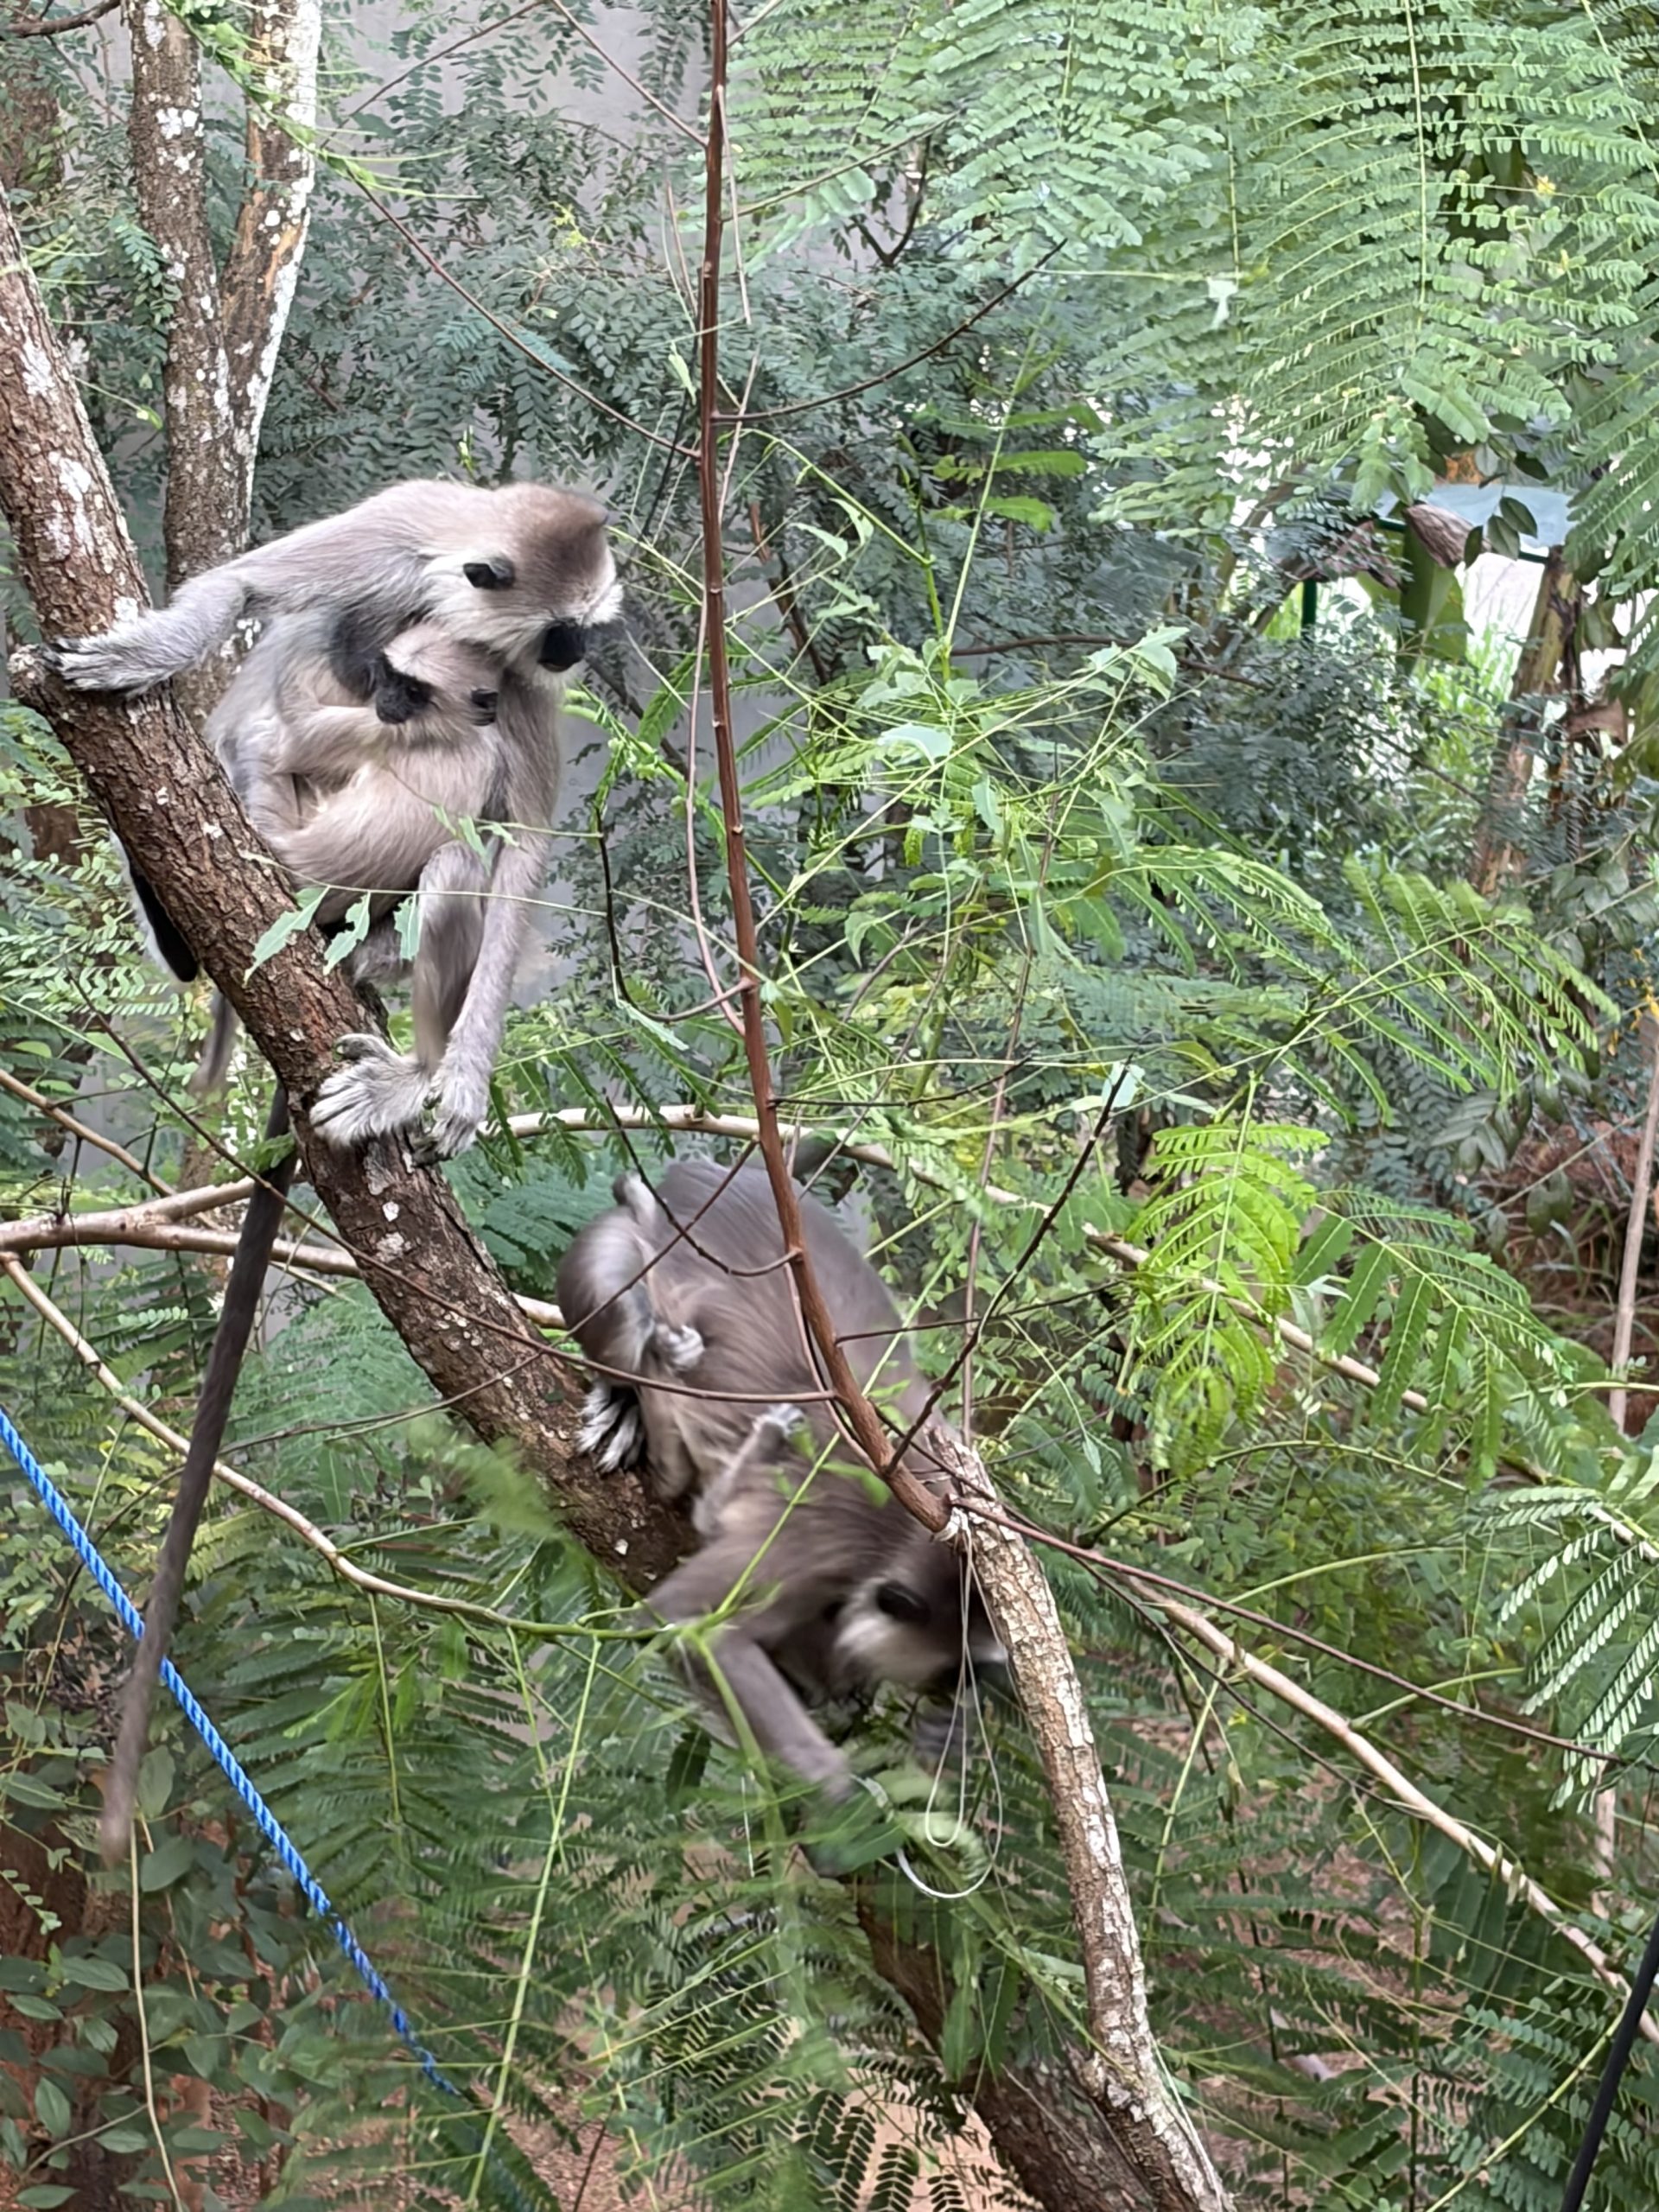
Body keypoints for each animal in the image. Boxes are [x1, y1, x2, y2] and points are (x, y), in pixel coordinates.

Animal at [70, 480, 619, 1865]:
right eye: (570, 630)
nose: (582, 660)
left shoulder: (492, 690)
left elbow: (522, 846)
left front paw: (458, 1081)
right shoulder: (408, 531)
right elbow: (256, 590)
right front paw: (158, 650)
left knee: (457, 863)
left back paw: (400, 1050)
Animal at [555, 1158, 1005, 1803]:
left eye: (975, 1674)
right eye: (953, 1670)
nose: (959, 1695)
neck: (906, 1526)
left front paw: (936, 1738)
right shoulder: (818, 1545)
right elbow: (690, 1627)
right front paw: (845, 1803)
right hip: (616, 1253)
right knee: (630, 1318)